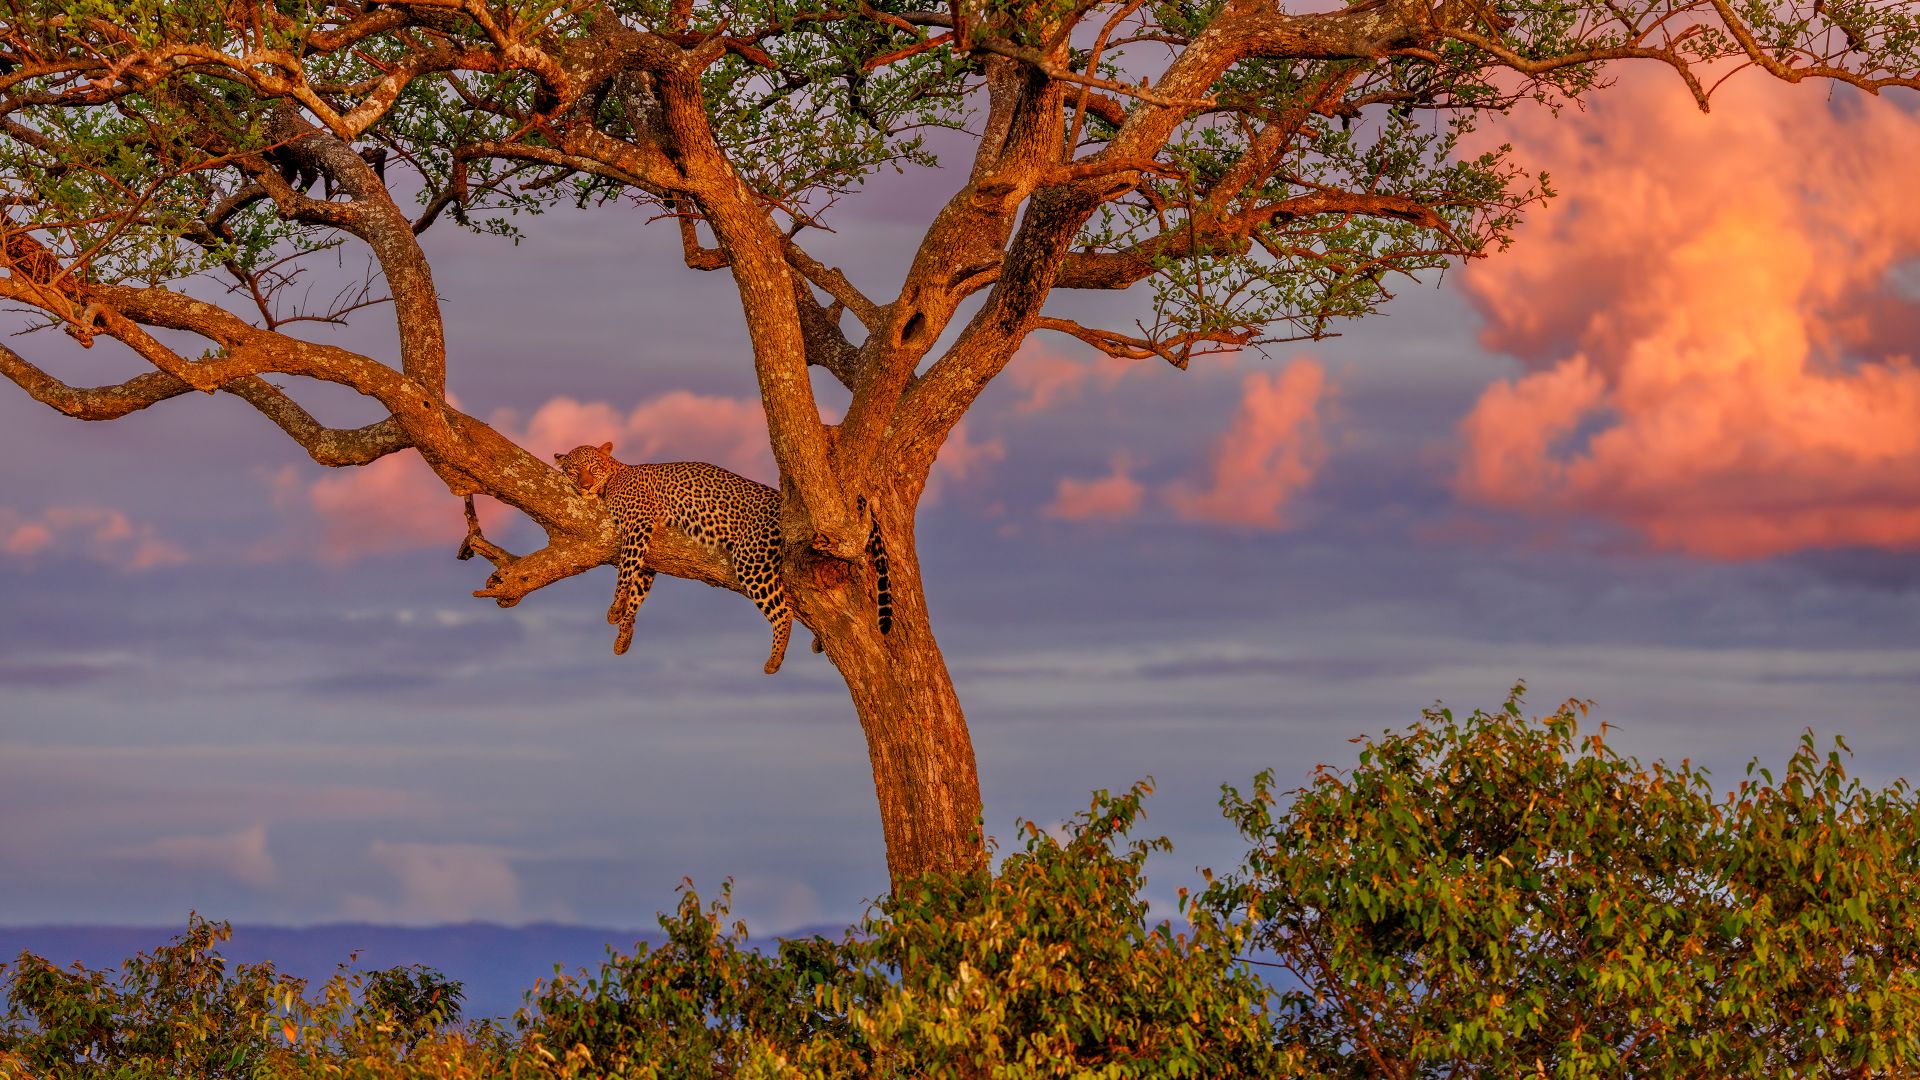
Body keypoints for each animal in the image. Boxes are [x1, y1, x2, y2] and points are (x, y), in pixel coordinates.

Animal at [554, 442, 891, 674]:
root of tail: (781, 500)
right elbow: (638, 587)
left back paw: (774, 660)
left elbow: (625, 571)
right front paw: (624, 633)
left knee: (783, 611)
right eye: (573, 470)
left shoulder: (638, 525)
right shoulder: (651, 551)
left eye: (592, 467)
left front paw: (614, 610)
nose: (584, 484)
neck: (614, 475)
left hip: (752, 561)